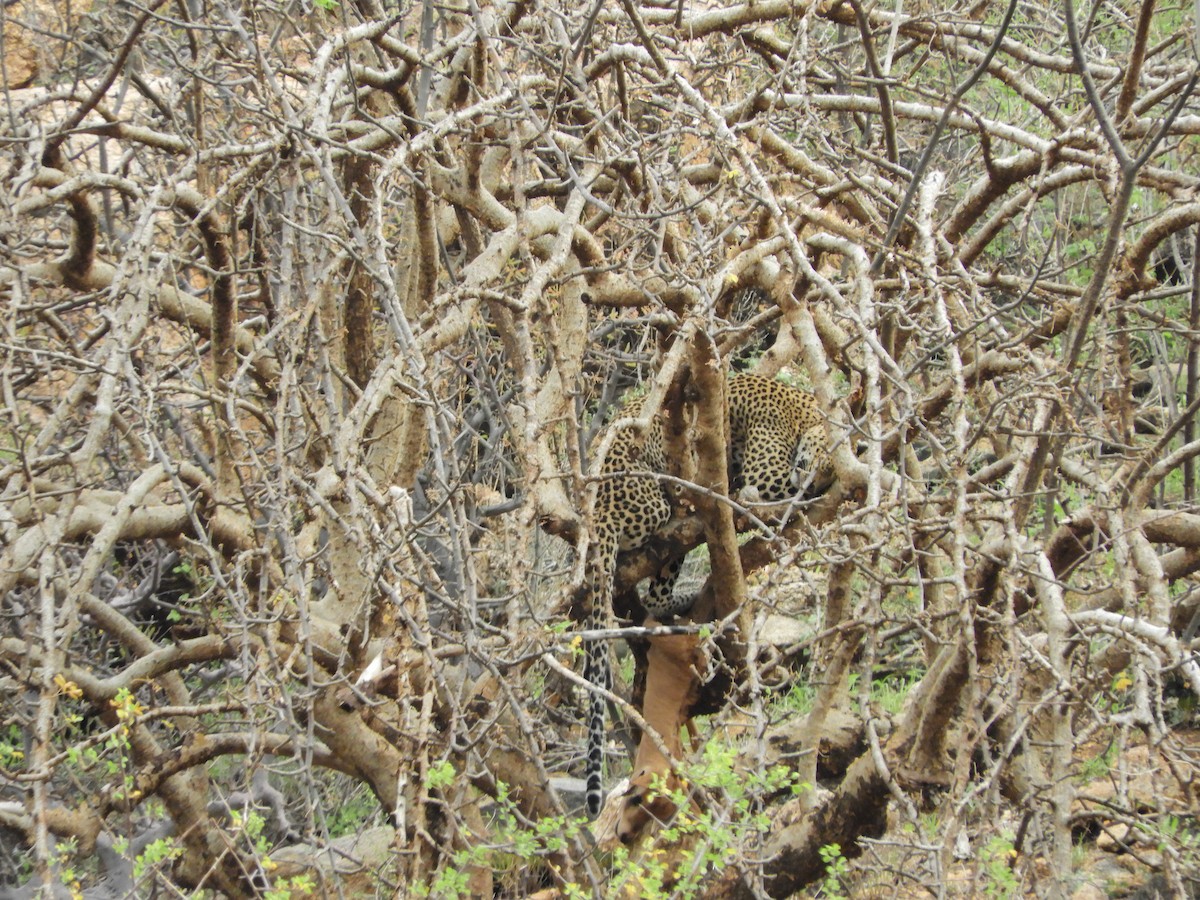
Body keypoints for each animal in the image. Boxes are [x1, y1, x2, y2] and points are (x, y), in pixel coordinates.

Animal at [580, 373, 832, 817]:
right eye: (817, 465)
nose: (812, 486)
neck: (803, 410)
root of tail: (599, 513)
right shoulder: (767, 471)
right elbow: (761, 486)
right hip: (657, 506)